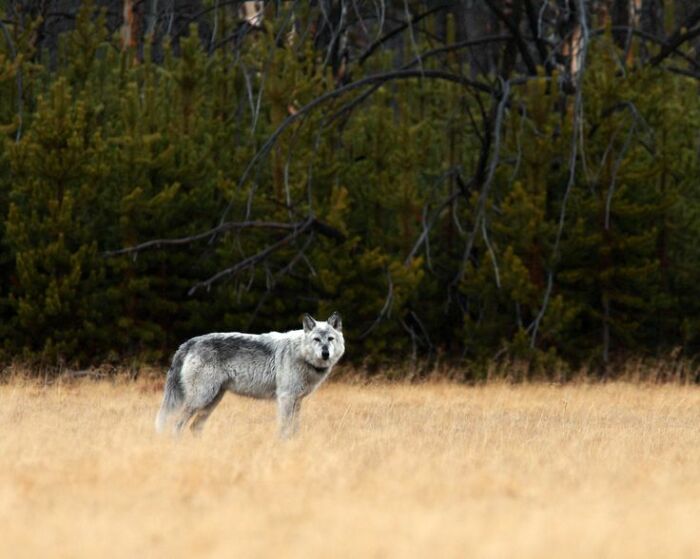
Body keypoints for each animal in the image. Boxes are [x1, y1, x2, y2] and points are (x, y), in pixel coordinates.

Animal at [154, 316, 344, 438]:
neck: (301, 354)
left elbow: (295, 429)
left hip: (212, 400)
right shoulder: (286, 398)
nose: (325, 353)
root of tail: (189, 342)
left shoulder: (297, 400)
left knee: (194, 427)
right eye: (317, 339)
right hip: (200, 398)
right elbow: (284, 428)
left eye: (330, 339)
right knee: (177, 425)